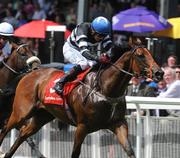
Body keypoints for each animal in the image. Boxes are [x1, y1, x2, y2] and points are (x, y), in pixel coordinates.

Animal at [0, 37, 163, 157]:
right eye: (140, 55)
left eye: (150, 54)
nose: (159, 73)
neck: (105, 89)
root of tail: (30, 73)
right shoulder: (82, 126)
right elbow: (75, 153)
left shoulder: (118, 123)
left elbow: (129, 150)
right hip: (21, 112)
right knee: (6, 128)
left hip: (43, 116)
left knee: (23, 134)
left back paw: (8, 154)